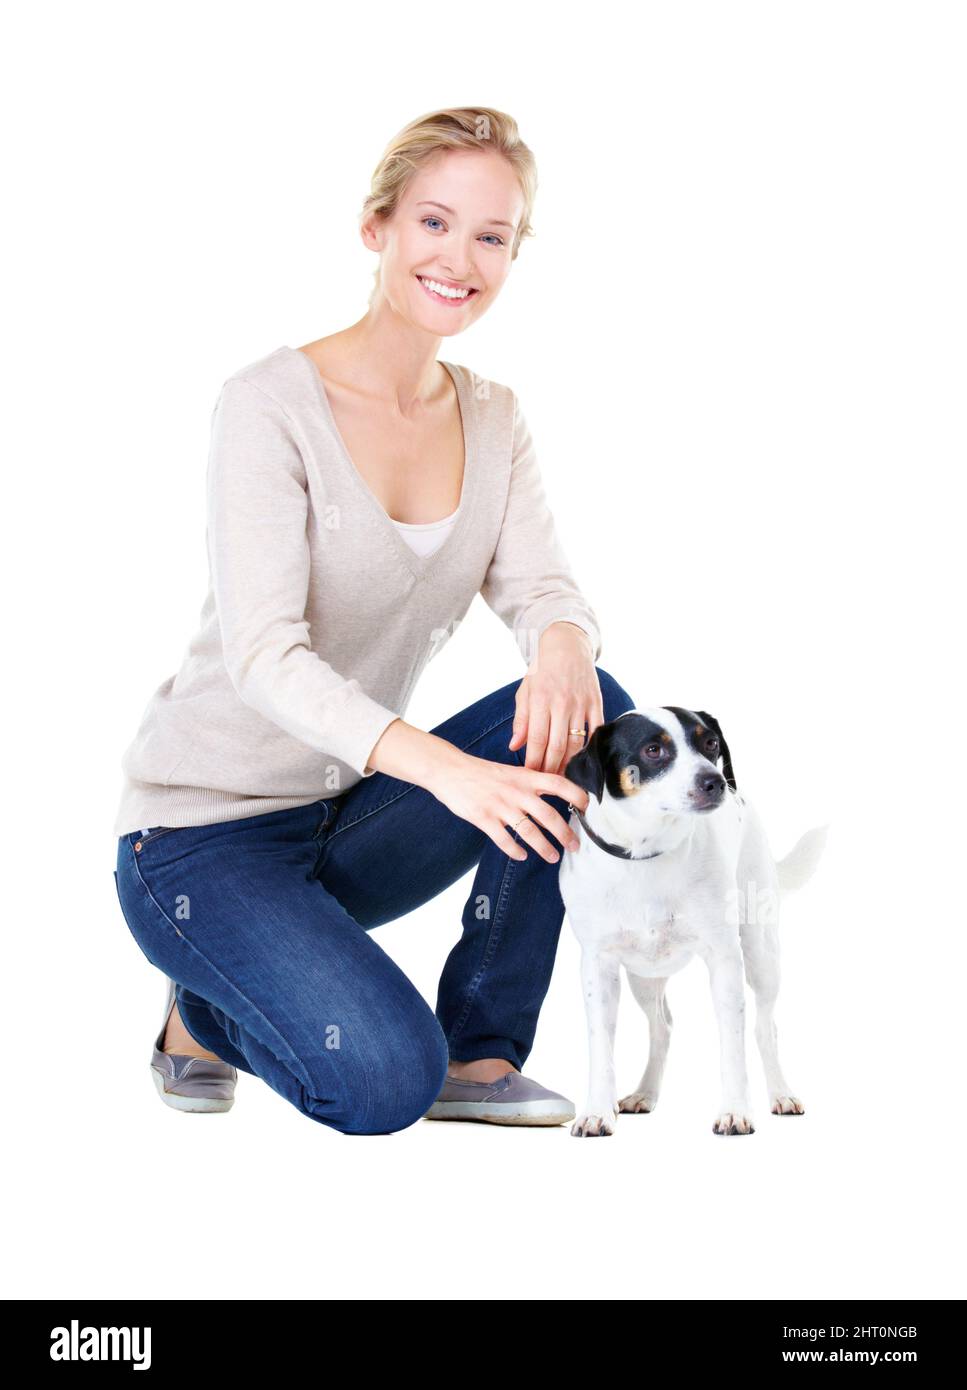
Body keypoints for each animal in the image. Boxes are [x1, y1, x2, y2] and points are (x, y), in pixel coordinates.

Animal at [558, 711, 822, 1134]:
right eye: (653, 750)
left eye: (710, 743)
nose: (714, 782)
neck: (646, 855)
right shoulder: (598, 966)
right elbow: (601, 1048)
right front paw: (597, 1111)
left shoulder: (725, 959)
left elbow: (733, 1044)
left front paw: (735, 1110)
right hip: (644, 975)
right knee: (661, 1027)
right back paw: (644, 1093)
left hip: (761, 955)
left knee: (765, 1028)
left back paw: (781, 1094)